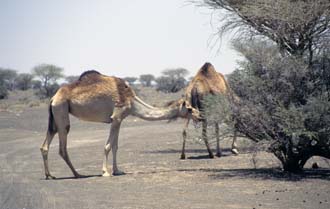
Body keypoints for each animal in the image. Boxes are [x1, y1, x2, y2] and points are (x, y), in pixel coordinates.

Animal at [38, 70, 199, 178]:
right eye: (190, 109)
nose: (200, 115)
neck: (132, 101)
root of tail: (53, 98)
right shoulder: (116, 117)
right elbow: (108, 146)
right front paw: (105, 172)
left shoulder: (120, 119)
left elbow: (115, 146)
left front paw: (117, 171)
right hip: (61, 110)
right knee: (62, 146)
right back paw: (77, 174)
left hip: (55, 115)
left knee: (46, 143)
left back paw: (49, 175)